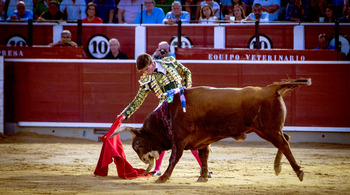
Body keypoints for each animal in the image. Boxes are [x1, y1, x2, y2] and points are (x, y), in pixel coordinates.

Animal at [110, 77, 310, 183]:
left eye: (137, 144)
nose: (144, 160)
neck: (169, 112)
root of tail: (270, 89)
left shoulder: (179, 140)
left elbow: (174, 158)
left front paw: (163, 178)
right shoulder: (202, 141)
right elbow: (204, 156)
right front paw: (203, 177)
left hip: (268, 129)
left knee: (284, 143)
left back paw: (298, 171)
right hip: (268, 129)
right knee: (286, 138)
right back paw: (277, 167)